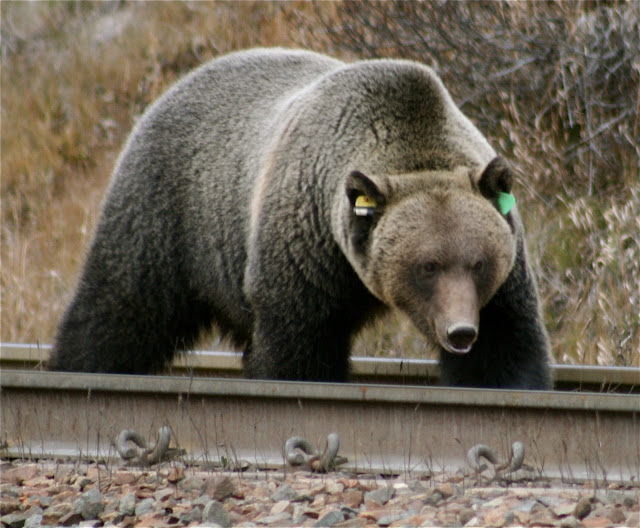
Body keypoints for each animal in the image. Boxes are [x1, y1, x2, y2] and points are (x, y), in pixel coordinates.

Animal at [48, 48, 552, 389]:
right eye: (426, 266)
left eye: (478, 263)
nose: (460, 330)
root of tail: (172, 87)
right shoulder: (306, 243)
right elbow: (299, 343)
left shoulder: (503, 272)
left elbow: (506, 343)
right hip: (171, 212)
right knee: (119, 305)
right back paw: (79, 365)